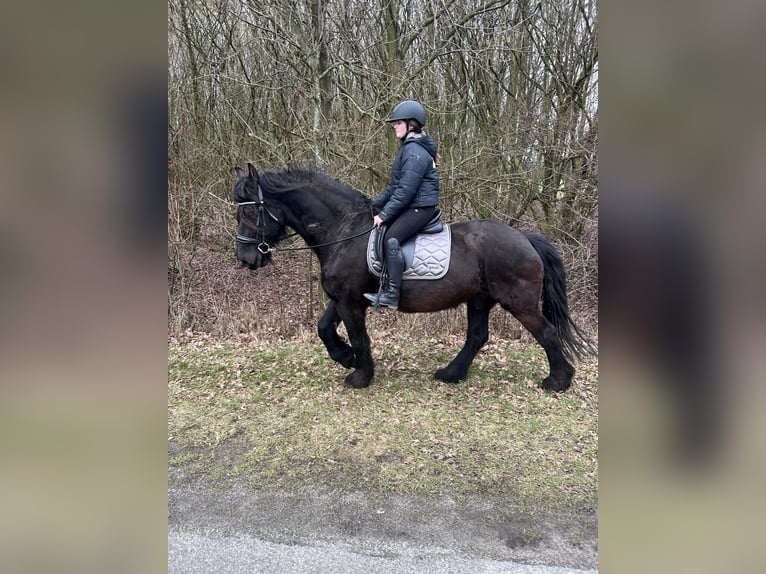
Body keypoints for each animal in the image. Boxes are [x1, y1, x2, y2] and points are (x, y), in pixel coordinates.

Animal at [232, 163, 594, 391]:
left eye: (249, 211)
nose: (246, 258)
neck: (344, 232)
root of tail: (526, 238)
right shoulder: (344, 297)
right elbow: (324, 329)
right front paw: (346, 359)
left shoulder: (351, 301)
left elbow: (359, 337)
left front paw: (359, 376)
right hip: (480, 299)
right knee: (477, 337)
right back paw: (451, 374)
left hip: (518, 302)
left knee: (547, 333)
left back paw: (558, 382)